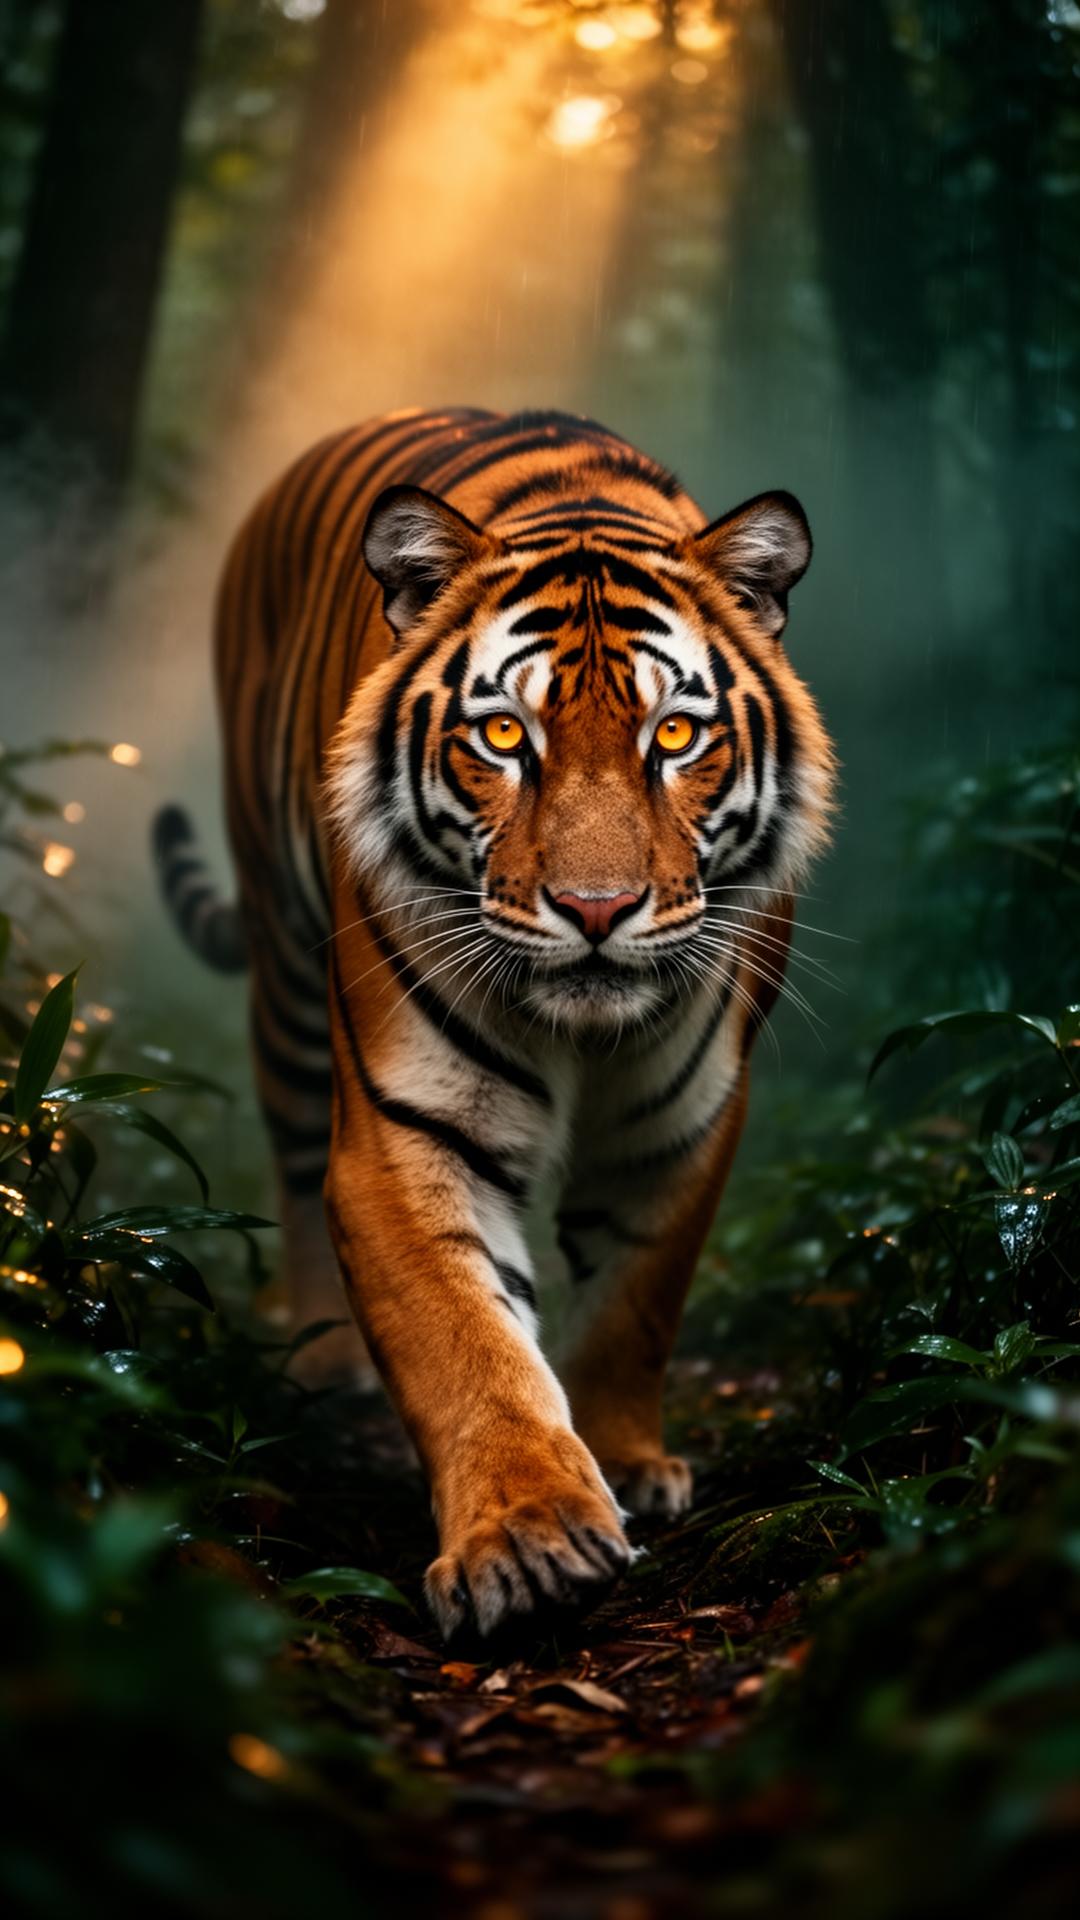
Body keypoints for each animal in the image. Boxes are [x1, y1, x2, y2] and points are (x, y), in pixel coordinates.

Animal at [154, 406, 836, 1641]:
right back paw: (324, 1364)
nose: (598, 909)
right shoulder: (407, 1129)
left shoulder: (683, 1122)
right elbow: (464, 1340)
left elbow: (633, 1305)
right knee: (292, 1155)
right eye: (507, 739)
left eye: (674, 737)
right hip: (284, 974)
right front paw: (528, 1535)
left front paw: (627, 1463)